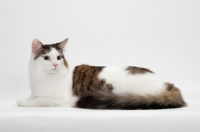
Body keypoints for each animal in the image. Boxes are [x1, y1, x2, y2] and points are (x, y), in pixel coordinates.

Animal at [17, 38, 186, 109]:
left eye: (59, 57)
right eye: (47, 58)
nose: (55, 64)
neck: (42, 78)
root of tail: (165, 84)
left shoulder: (59, 99)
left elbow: (38, 99)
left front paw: (22, 101)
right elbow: (36, 97)